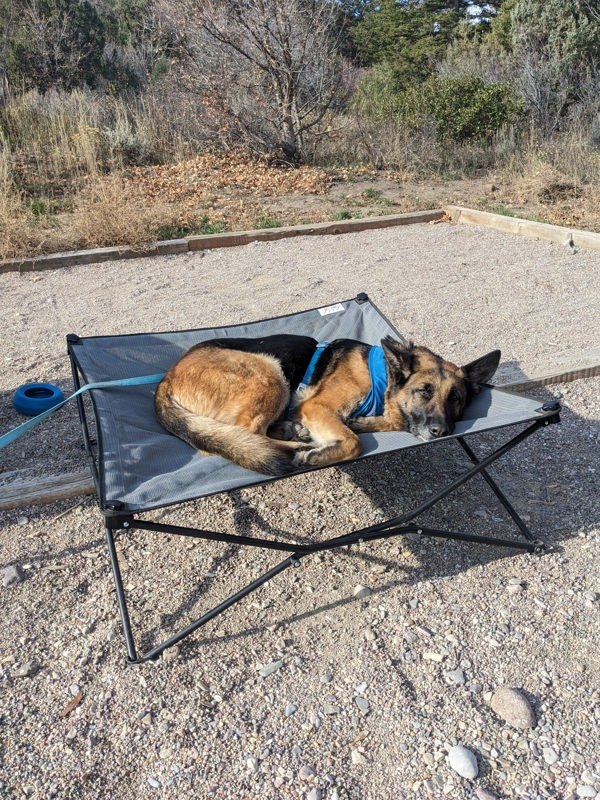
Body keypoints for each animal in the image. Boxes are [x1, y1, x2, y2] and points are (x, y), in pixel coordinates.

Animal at [155, 332, 502, 476]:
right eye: (424, 391)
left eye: (455, 398)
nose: (440, 431)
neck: (379, 377)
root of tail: (167, 378)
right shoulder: (316, 408)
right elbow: (353, 441)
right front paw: (324, 450)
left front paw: (363, 423)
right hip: (269, 371)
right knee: (242, 435)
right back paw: (297, 446)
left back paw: (293, 432)